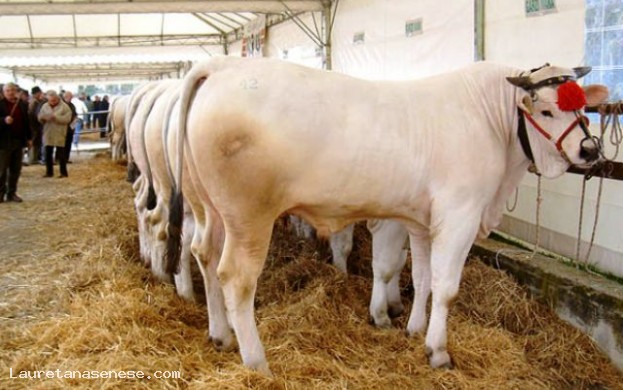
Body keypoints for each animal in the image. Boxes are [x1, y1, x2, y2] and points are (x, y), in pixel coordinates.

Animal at [168, 57, 608, 374]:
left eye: (583, 108)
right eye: (547, 111)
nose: (589, 149)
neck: (490, 122)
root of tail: (222, 66)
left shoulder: (423, 220)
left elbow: (422, 277)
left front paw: (414, 330)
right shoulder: (460, 214)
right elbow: (445, 286)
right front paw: (439, 351)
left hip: (209, 209)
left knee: (204, 254)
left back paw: (220, 334)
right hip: (249, 217)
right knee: (235, 277)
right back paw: (257, 361)